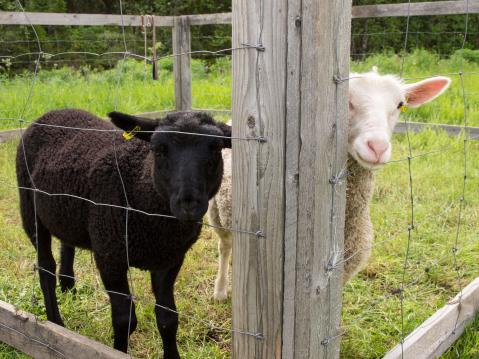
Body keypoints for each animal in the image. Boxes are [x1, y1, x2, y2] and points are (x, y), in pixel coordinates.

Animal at [15, 109, 232, 359]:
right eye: (157, 149)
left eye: (216, 148)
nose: (188, 204)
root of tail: (53, 112)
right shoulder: (110, 256)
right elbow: (124, 319)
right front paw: (118, 350)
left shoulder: (170, 259)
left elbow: (168, 318)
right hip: (30, 210)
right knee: (45, 267)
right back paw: (56, 323)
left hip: (66, 212)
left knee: (66, 244)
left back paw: (69, 289)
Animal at [209, 69, 450, 300]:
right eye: (346, 101)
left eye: (400, 104)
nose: (378, 147)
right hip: (218, 212)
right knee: (225, 246)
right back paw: (220, 290)